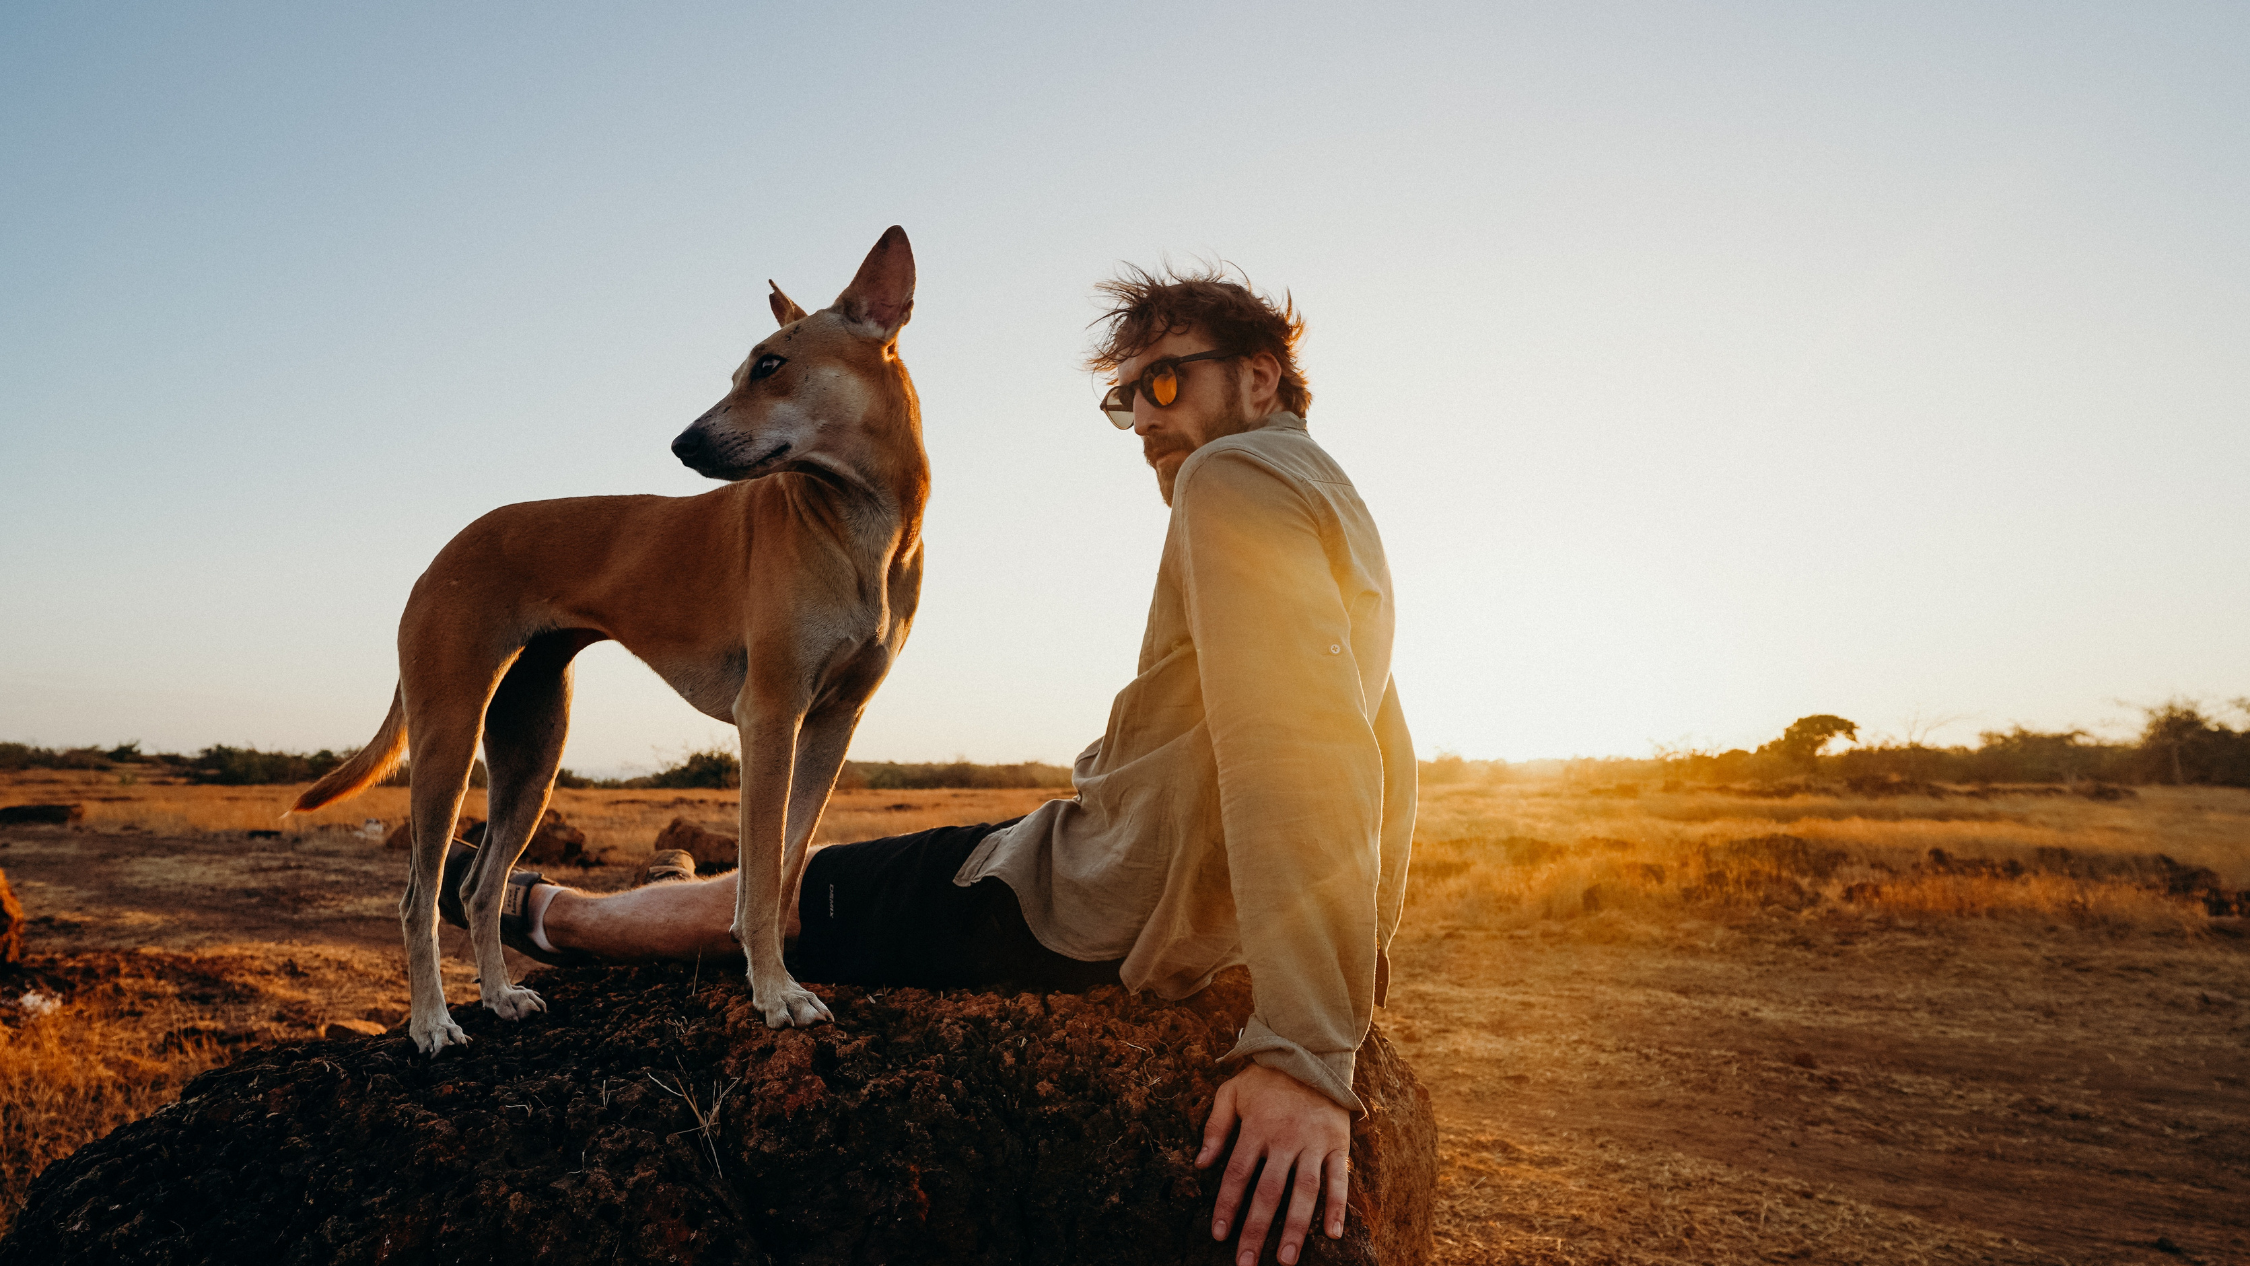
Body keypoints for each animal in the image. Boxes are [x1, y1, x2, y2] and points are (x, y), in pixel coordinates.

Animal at [294, 230, 927, 1061]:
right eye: (745, 366)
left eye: (769, 364)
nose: (682, 444)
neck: (859, 527)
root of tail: (446, 550)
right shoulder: (769, 716)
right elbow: (760, 878)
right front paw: (775, 992)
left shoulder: (832, 726)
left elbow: (786, 869)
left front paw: (773, 970)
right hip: (447, 739)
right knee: (418, 897)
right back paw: (432, 1023)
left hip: (532, 752)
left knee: (478, 885)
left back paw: (498, 997)